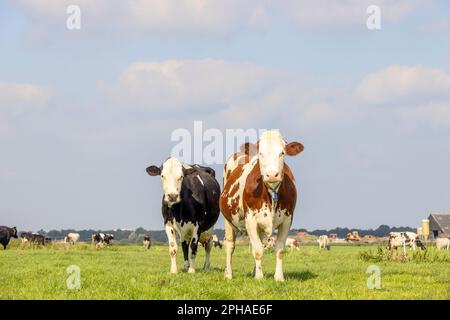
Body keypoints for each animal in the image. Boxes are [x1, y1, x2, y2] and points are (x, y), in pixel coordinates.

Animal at [218, 130, 302, 280]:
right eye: (261, 154)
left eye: (282, 153)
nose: (272, 175)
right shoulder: (250, 219)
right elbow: (257, 251)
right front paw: (259, 277)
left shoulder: (287, 220)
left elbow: (279, 250)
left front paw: (278, 277)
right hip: (228, 219)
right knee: (230, 244)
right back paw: (228, 273)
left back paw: (253, 271)